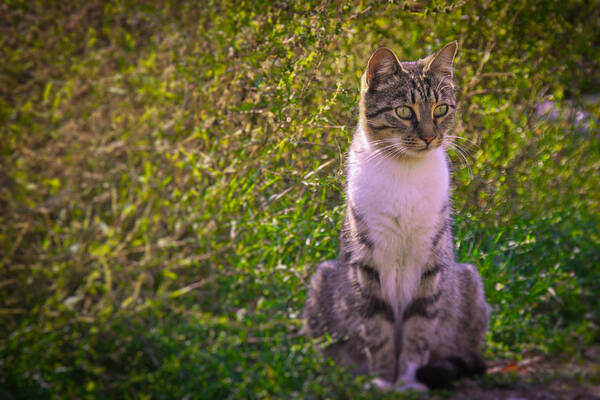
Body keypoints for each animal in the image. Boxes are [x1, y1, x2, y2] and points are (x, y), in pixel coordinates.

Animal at [302, 41, 490, 390]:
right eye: (404, 111)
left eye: (441, 110)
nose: (430, 137)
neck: (405, 171)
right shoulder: (366, 261)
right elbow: (377, 329)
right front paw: (382, 380)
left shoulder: (432, 260)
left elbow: (419, 329)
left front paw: (408, 381)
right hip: (322, 281)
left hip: (469, 281)